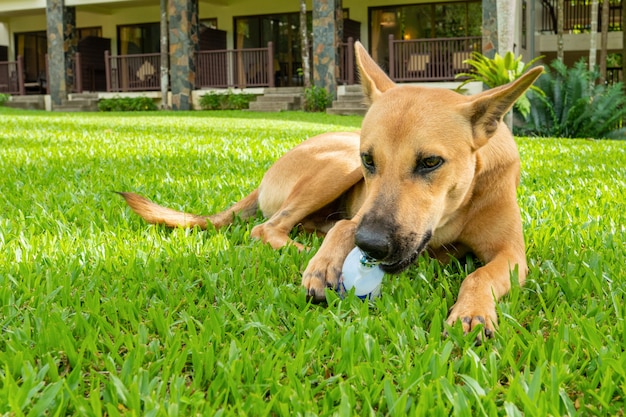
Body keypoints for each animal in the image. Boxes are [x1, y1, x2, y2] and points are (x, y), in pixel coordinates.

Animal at [120, 43, 540, 338]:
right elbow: (344, 227)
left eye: (431, 162)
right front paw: (324, 265)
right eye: (370, 159)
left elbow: (480, 274)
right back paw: (303, 250)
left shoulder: (512, 254)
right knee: (266, 228)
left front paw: (473, 311)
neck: (461, 202)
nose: (371, 246)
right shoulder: (362, 200)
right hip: (338, 163)